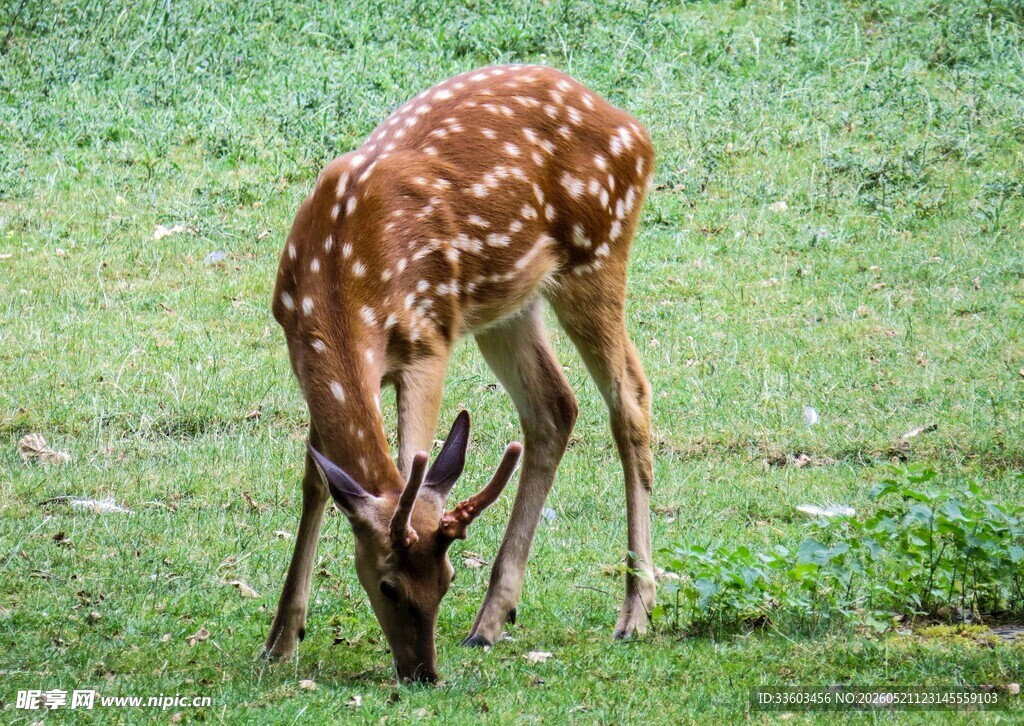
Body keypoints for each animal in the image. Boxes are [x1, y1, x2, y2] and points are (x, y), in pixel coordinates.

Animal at [264, 64, 656, 683]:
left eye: (446, 580)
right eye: (389, 586)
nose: (423, 672)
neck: (340, 290)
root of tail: (637, 133)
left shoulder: (428, 339)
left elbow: (410, 460)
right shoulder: (300, 352)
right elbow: (316, 481)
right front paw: (281, 640)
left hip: (596, 254)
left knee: (630, 399)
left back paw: (635, 611)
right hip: (509, 304)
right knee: (555, 406)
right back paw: (491, 620)